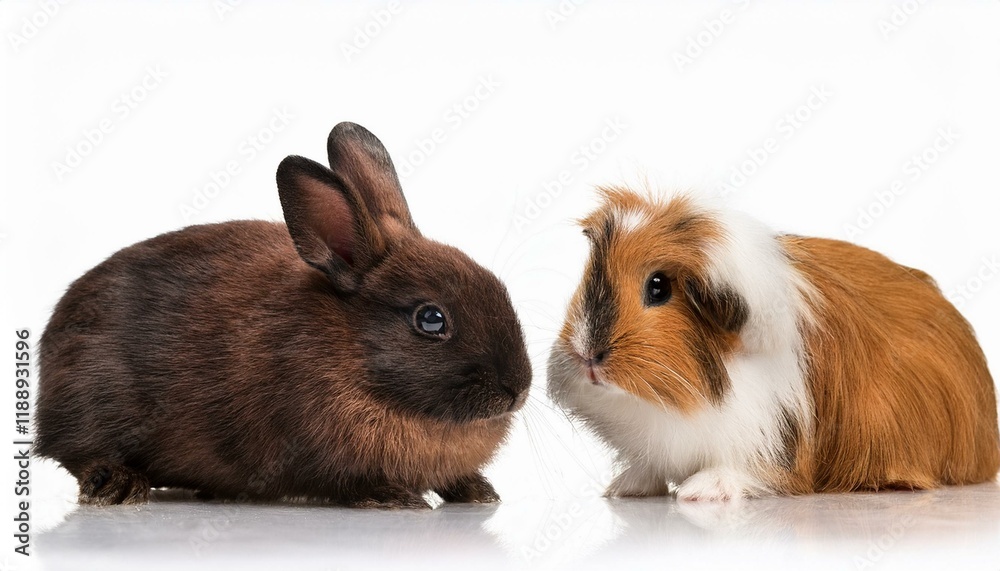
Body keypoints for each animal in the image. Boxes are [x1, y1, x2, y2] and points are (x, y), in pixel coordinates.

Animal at [36, 122, 531, 508]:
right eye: (431, 319)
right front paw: (395, 497)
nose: (518, 388)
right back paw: (116, 484)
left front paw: (477, 491)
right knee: (78, 452)